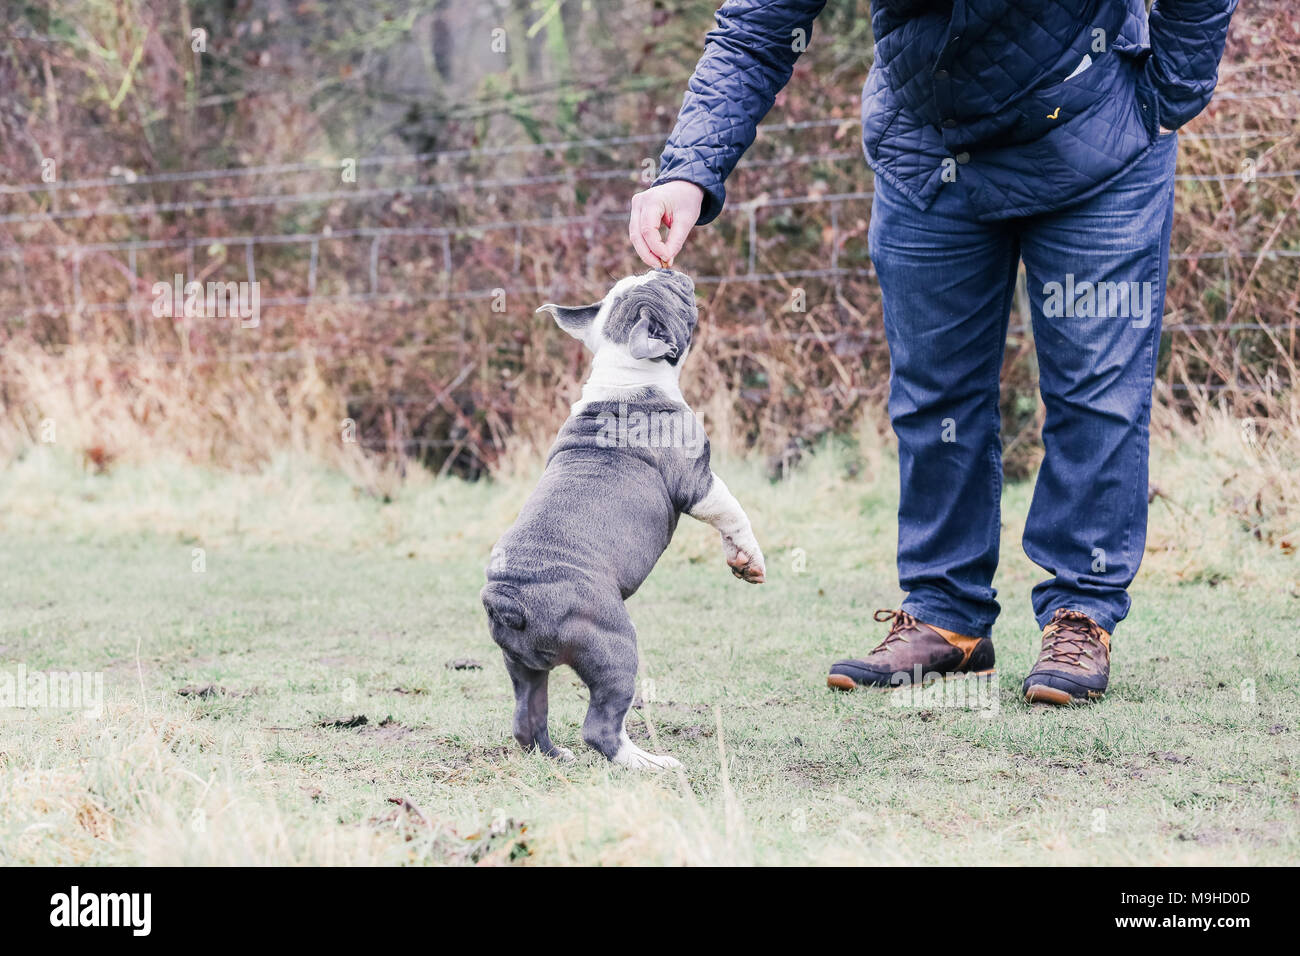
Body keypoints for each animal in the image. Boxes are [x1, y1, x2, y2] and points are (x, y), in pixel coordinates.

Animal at [483, 267, 764, 770]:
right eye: (670, 292)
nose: (668, 268)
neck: (624, 372)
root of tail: (511, 600)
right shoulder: (697, 482)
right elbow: (732, 511)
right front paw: (750, 558)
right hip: (614, 646)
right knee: (601, 727)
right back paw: (650, 763)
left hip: (523, 669)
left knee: (526, 718)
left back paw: (556, 756)